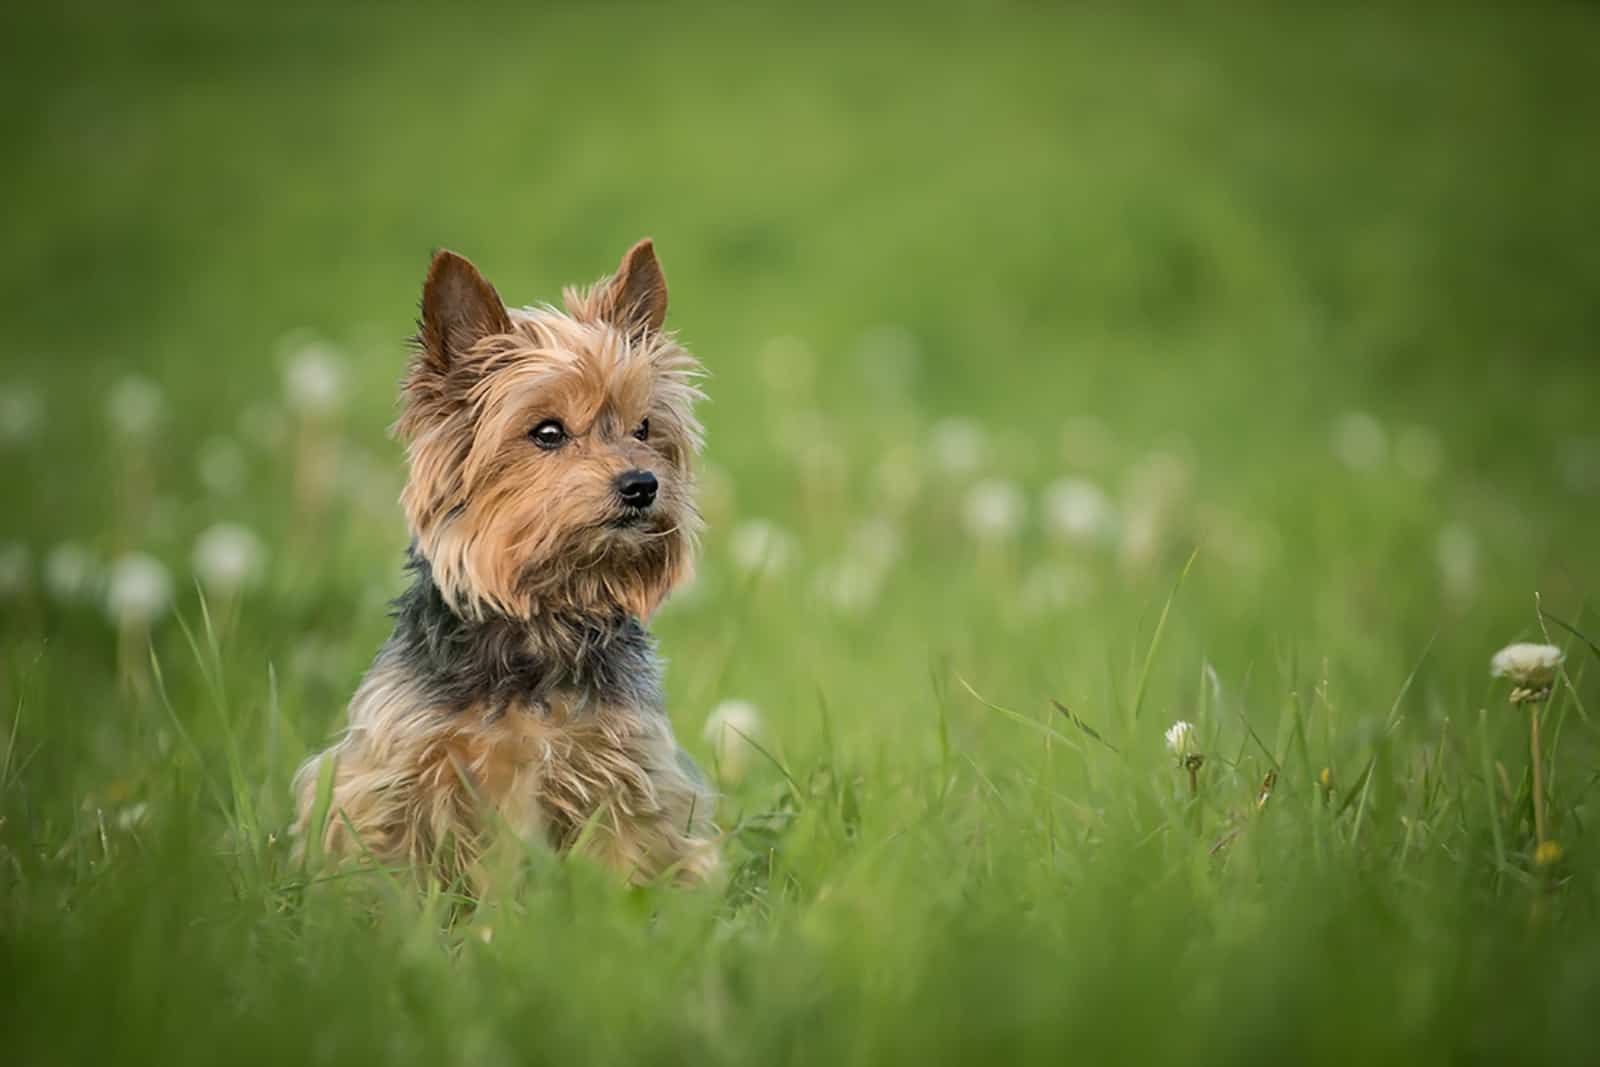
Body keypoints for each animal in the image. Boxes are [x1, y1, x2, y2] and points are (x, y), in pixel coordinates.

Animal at [297, 241, 723, 895]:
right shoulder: (391, 779)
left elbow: (629, 864)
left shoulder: (626, 774)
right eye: (547, 432)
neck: (541, 622)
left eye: (644, 428)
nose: (643, 484)